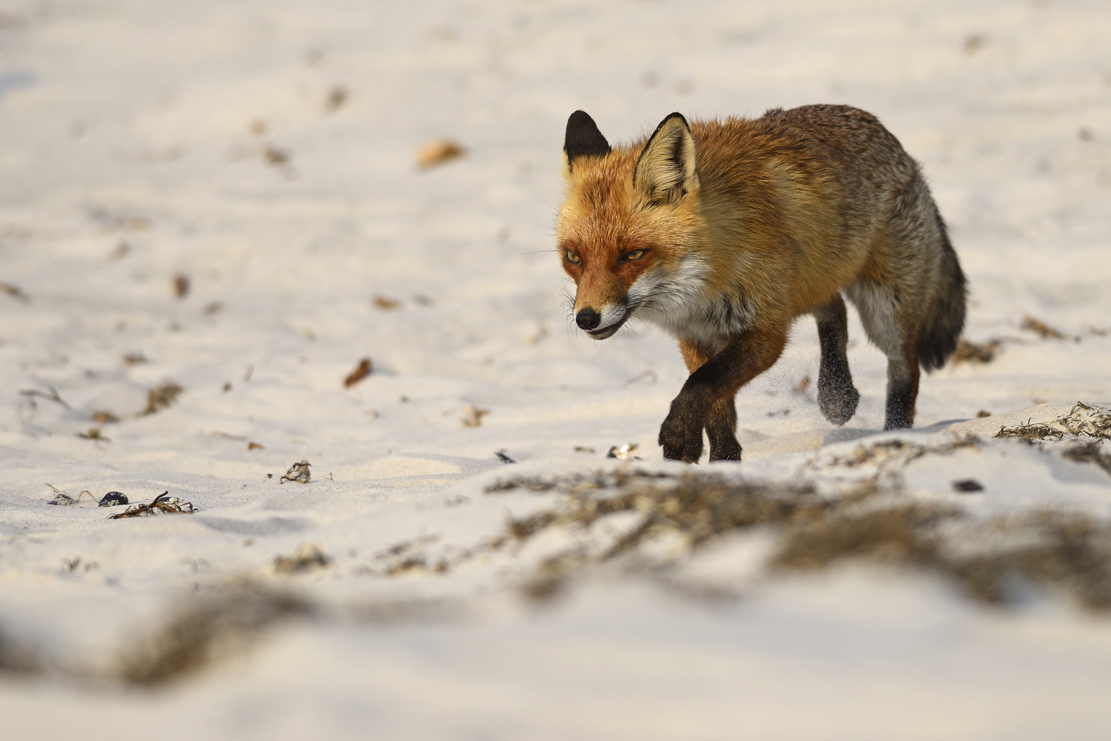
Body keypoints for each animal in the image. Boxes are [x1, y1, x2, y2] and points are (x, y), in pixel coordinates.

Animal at [555, 104, 964, 464]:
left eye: (633, 254)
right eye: (573, 257)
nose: (586, 318)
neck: (701, 285)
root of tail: (894, 142)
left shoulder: (765, 331)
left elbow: (702, 385)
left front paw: (679, 436)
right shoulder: (696, 336)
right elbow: (716, 406)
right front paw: (722, 460)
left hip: (885, 309)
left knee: (905, 369)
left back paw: (894, 432)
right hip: (806, 281)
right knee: (834, 308)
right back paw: (837, 395)